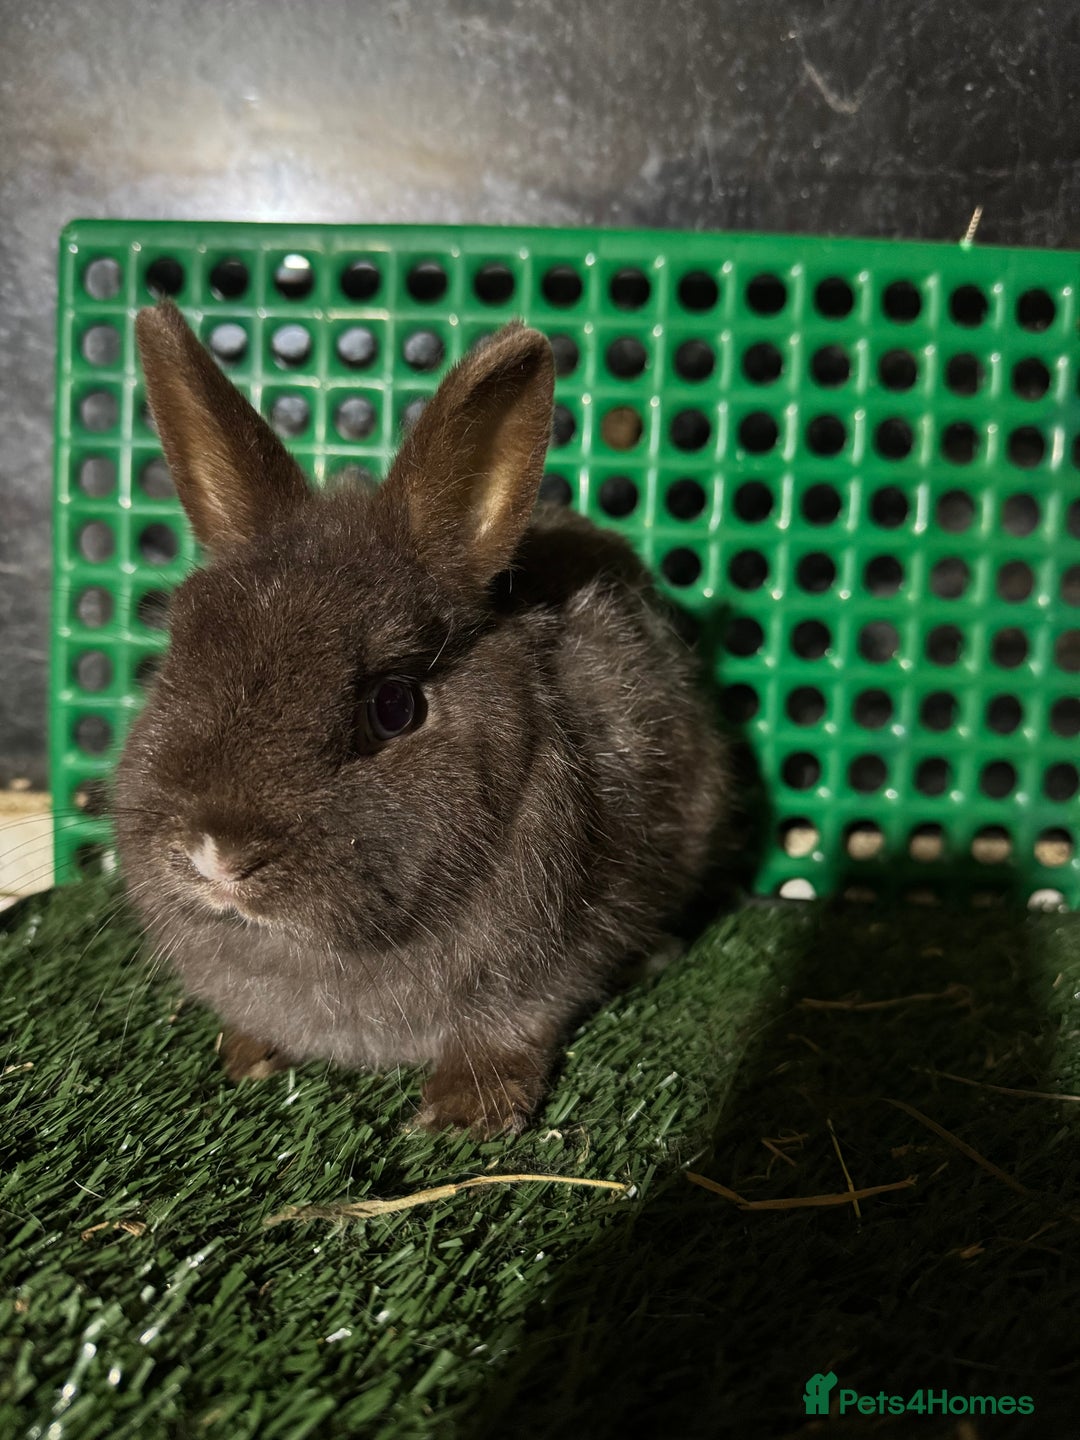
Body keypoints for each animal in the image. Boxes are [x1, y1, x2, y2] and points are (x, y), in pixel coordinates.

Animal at [113, 300, 729, 1136]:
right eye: (178, 650)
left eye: (393, 704)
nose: (216, 855)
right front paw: (247, 1056)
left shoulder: (538, 975)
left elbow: (512, 1028)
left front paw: (463, 1116)